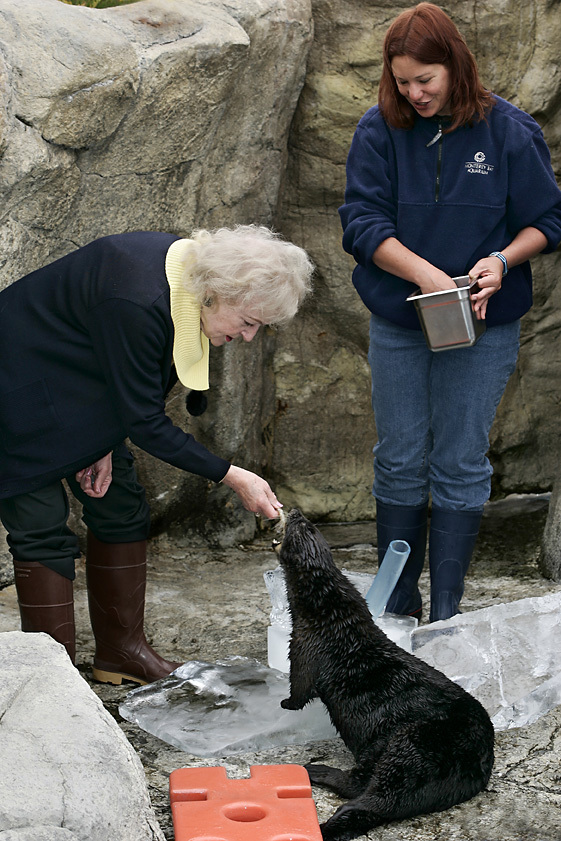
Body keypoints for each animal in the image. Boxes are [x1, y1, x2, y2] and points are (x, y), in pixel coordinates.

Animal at [278, 509, 494, 841]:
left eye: (305, 526)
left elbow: (300, 688)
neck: (331, 614)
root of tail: (473, 768)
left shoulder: (303, 646)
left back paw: (315, 778)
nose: (296, 512)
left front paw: (285, 703)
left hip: (410, 746)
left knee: (364, 795)